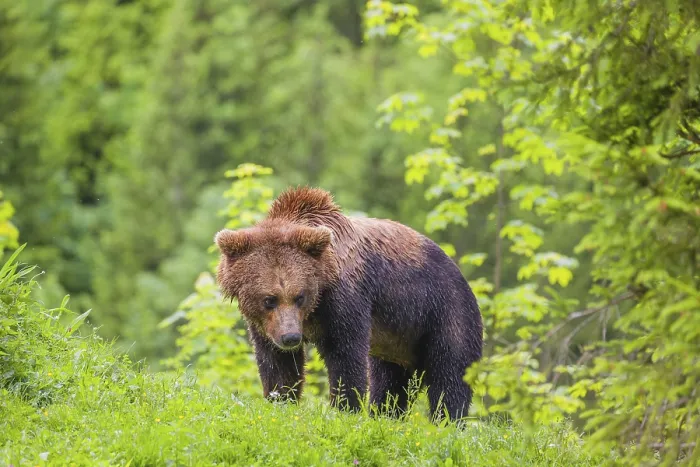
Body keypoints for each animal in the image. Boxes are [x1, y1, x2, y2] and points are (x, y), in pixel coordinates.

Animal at [214, 186, 483, 422]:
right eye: (269, 299)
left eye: (299, 296)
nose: (291, 337)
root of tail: (461, 277)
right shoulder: (267, 325)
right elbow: (276, 362)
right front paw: (280, 399)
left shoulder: (347, 297)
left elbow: (346, 353)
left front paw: (345, 407)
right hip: (397, 340)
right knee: (390, 382)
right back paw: (385, 415)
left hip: (441, 312)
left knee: (450, 374)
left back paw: (447, 421)